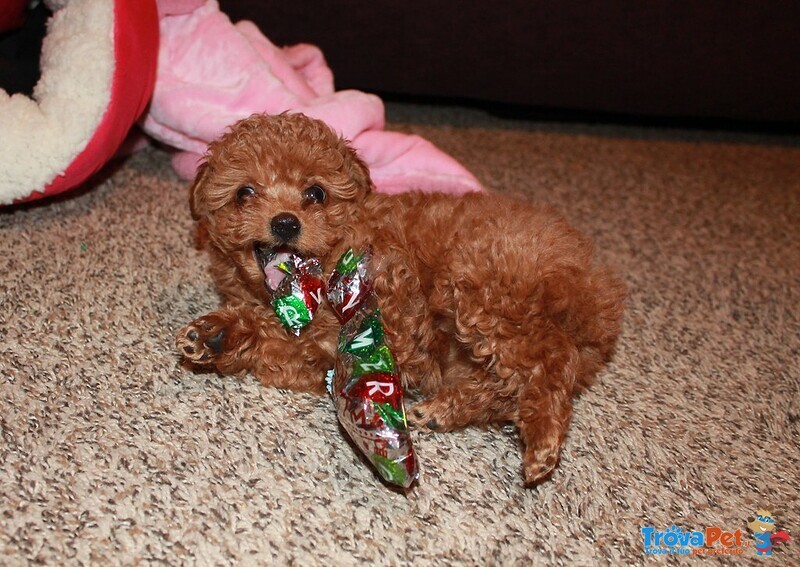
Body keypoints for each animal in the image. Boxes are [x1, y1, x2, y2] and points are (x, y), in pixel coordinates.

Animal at [177, 113, 624, 486]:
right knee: (505, 389)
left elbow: (313, 333)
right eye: (244, 193)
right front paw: (217, 336)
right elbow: (283, 343)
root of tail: (594, 290)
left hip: (482, 289)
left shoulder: (392, 306)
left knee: (552, 359)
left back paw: (543, 444)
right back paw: (442, 411)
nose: (285, 222)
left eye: (316, 193)